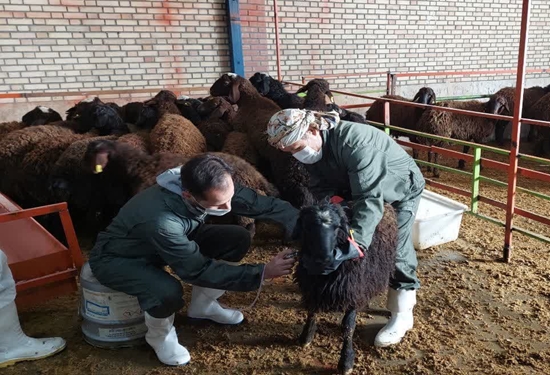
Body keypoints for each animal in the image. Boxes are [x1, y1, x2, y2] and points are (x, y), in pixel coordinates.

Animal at [296, 201, 398, 374]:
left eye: (337, 227)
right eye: (307, 226)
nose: (324, 259)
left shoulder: (353, 291)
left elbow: (349, 327)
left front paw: (346, 361)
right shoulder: (312, 287)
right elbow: (311, 311)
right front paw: (306, 336)